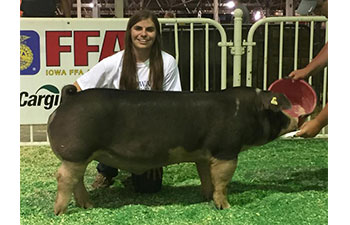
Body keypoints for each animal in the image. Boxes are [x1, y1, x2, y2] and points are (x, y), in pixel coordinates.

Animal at [47, 84, 296, 214]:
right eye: (277, 111)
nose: (297, 119)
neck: (246, 110)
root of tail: (67, 100)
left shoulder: (203, 155)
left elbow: (207, 177)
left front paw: (206, 197)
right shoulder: (226, 151)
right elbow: (222, 181)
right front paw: (225, 207)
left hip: (80, 157)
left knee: (77, 180)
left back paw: (88, 206)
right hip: (75, 153)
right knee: (63, 178)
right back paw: (59, 212)